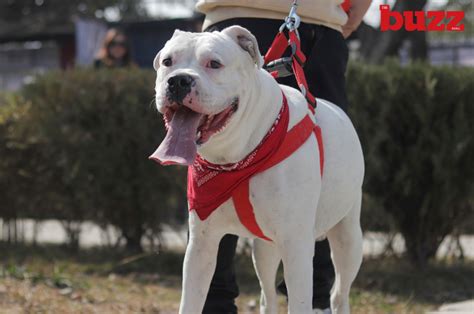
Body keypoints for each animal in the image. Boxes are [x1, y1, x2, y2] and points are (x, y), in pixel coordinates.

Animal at [150, 25, 364, 312]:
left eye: (214, 63)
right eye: (167, 62)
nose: (178, 81)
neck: (236, 158)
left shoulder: (297, 247)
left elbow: (300, 301)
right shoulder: (201, 245)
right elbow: (191, 301)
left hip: (348, 238)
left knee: (339, 293)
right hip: (264, 249)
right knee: (268, 295)